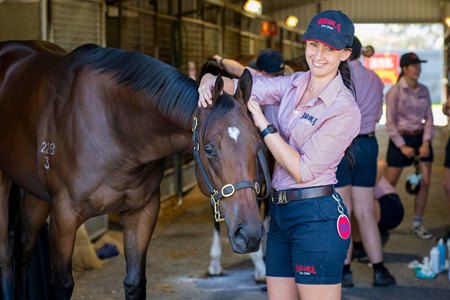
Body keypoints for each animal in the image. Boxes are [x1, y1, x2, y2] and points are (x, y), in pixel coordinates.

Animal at [0, 40, 266, 300]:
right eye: (209, 149)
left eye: (257, 145)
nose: (250, 234)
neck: (115, 127)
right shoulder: (63, 215)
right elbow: (61, 285)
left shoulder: (142, 211)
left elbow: (135, 282)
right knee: (6, 255)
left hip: (36, 195)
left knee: (23, 247)